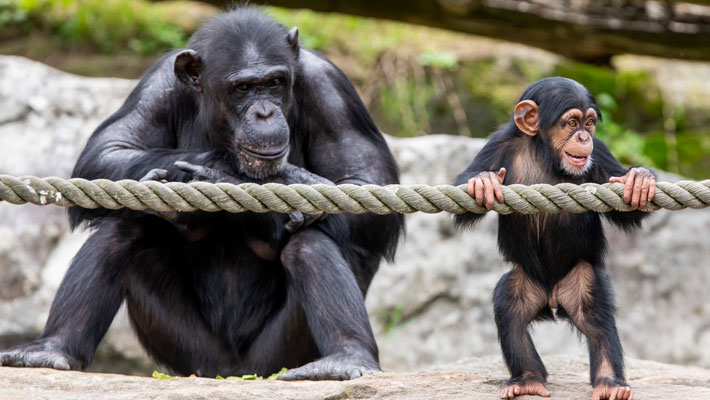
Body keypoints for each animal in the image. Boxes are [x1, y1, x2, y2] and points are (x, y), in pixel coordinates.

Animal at [0, 7, 400, 380]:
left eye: (275, 82)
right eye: (242, 88)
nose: (265, 112)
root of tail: (232, 373)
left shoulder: (329, 87)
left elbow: (367, 185)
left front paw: (245, 179)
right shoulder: (158, 83)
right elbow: (107, 152)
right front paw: (220, 171)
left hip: (277, 356)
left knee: (311, 241)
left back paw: (346, 358)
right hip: (187, 351)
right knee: (123, 228)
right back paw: (51, 350)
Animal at [456, 76, 656, 400]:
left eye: (589, 123)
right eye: (571, 122)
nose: (584, 137)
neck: (545, 155)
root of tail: (551, 299)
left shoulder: (599, 153)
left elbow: (627, 211)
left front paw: (638, 179)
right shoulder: (497, 144)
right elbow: (466, 195)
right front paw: (483, 182)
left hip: (581, 281)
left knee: (596, 317)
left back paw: (609, 383)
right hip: (523, 283)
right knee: (510, 312)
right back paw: (528, 379)